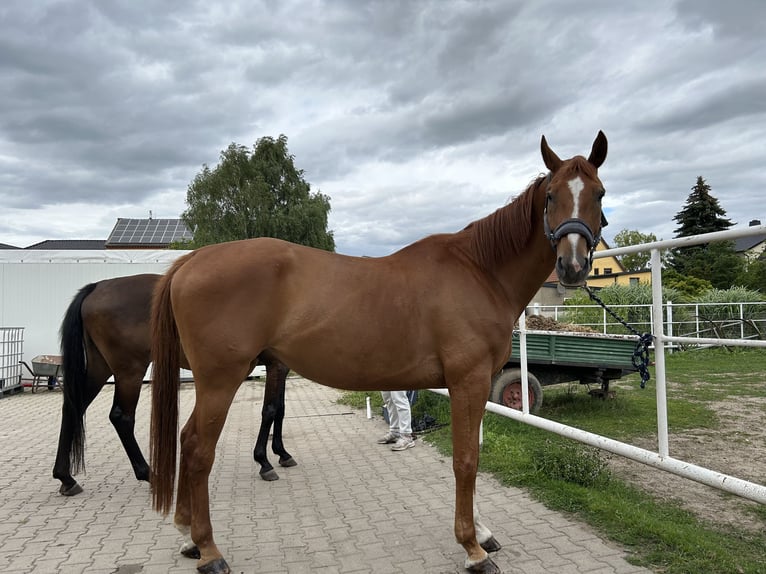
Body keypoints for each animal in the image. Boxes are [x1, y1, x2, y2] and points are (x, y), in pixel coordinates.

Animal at [55, 273, 296, 497]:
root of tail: (98, 286)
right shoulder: (277, 365)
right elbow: (270, 410)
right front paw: (264, 462)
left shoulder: (282, 367)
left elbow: (280, 410)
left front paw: (282, 454)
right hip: (129, 371)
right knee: (121, 417)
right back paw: (149, 474)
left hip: (101, 368)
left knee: (73, 408)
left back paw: (66, 479)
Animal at [149, 131, 609, 574]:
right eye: (551, 196)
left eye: (599, 193)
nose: (572, 266)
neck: (480, 271)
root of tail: (189, 262)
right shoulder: (468, 381)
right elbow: (466, 460)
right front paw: (473, 549)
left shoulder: (475, 386)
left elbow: (473, 455)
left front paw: (482, 532)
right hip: (220, 379)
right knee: (197, 449)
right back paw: (210, 551)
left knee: (188, 441)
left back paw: (190, 539)